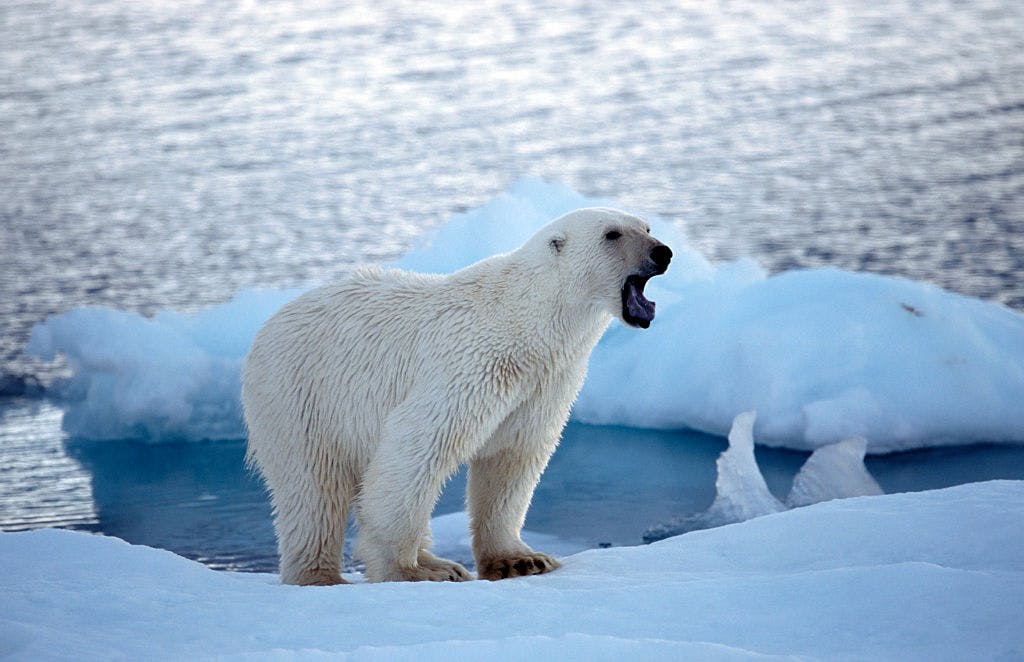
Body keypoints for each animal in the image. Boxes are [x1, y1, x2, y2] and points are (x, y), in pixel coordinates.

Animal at [241, 208, 672, 585]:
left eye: (647, 226)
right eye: (612, 234)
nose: (663, 252)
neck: (527, 322)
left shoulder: (544, 384)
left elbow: (512, 459)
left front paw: (522, 560)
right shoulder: (468, 364)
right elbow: (418, 445)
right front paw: (408, 571)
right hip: (301, 395)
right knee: (314, 489)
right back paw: (323, 575)